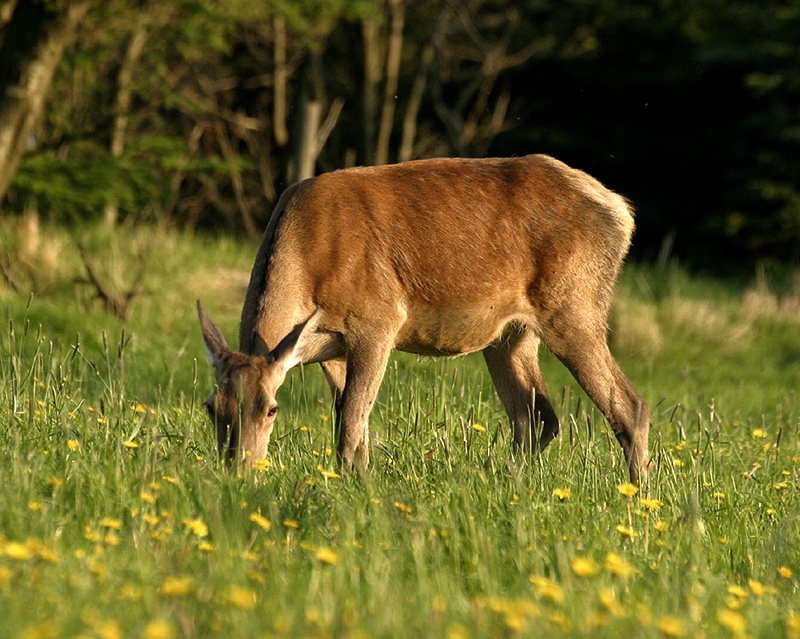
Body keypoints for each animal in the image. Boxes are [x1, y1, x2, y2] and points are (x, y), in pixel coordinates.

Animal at [198, 156, 648, 484]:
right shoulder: (329, 349)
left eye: (272, 409)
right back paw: (504, 481)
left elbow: (352, 421)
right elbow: (352, 421)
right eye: (211, 407)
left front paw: (347, 490)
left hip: (574, 305)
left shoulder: (377, 319)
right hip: (511, 335)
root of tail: (623, 211)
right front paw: (362, 482)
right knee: (538, 416)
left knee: (630, 405)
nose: (238, 475)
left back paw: (636, 497)